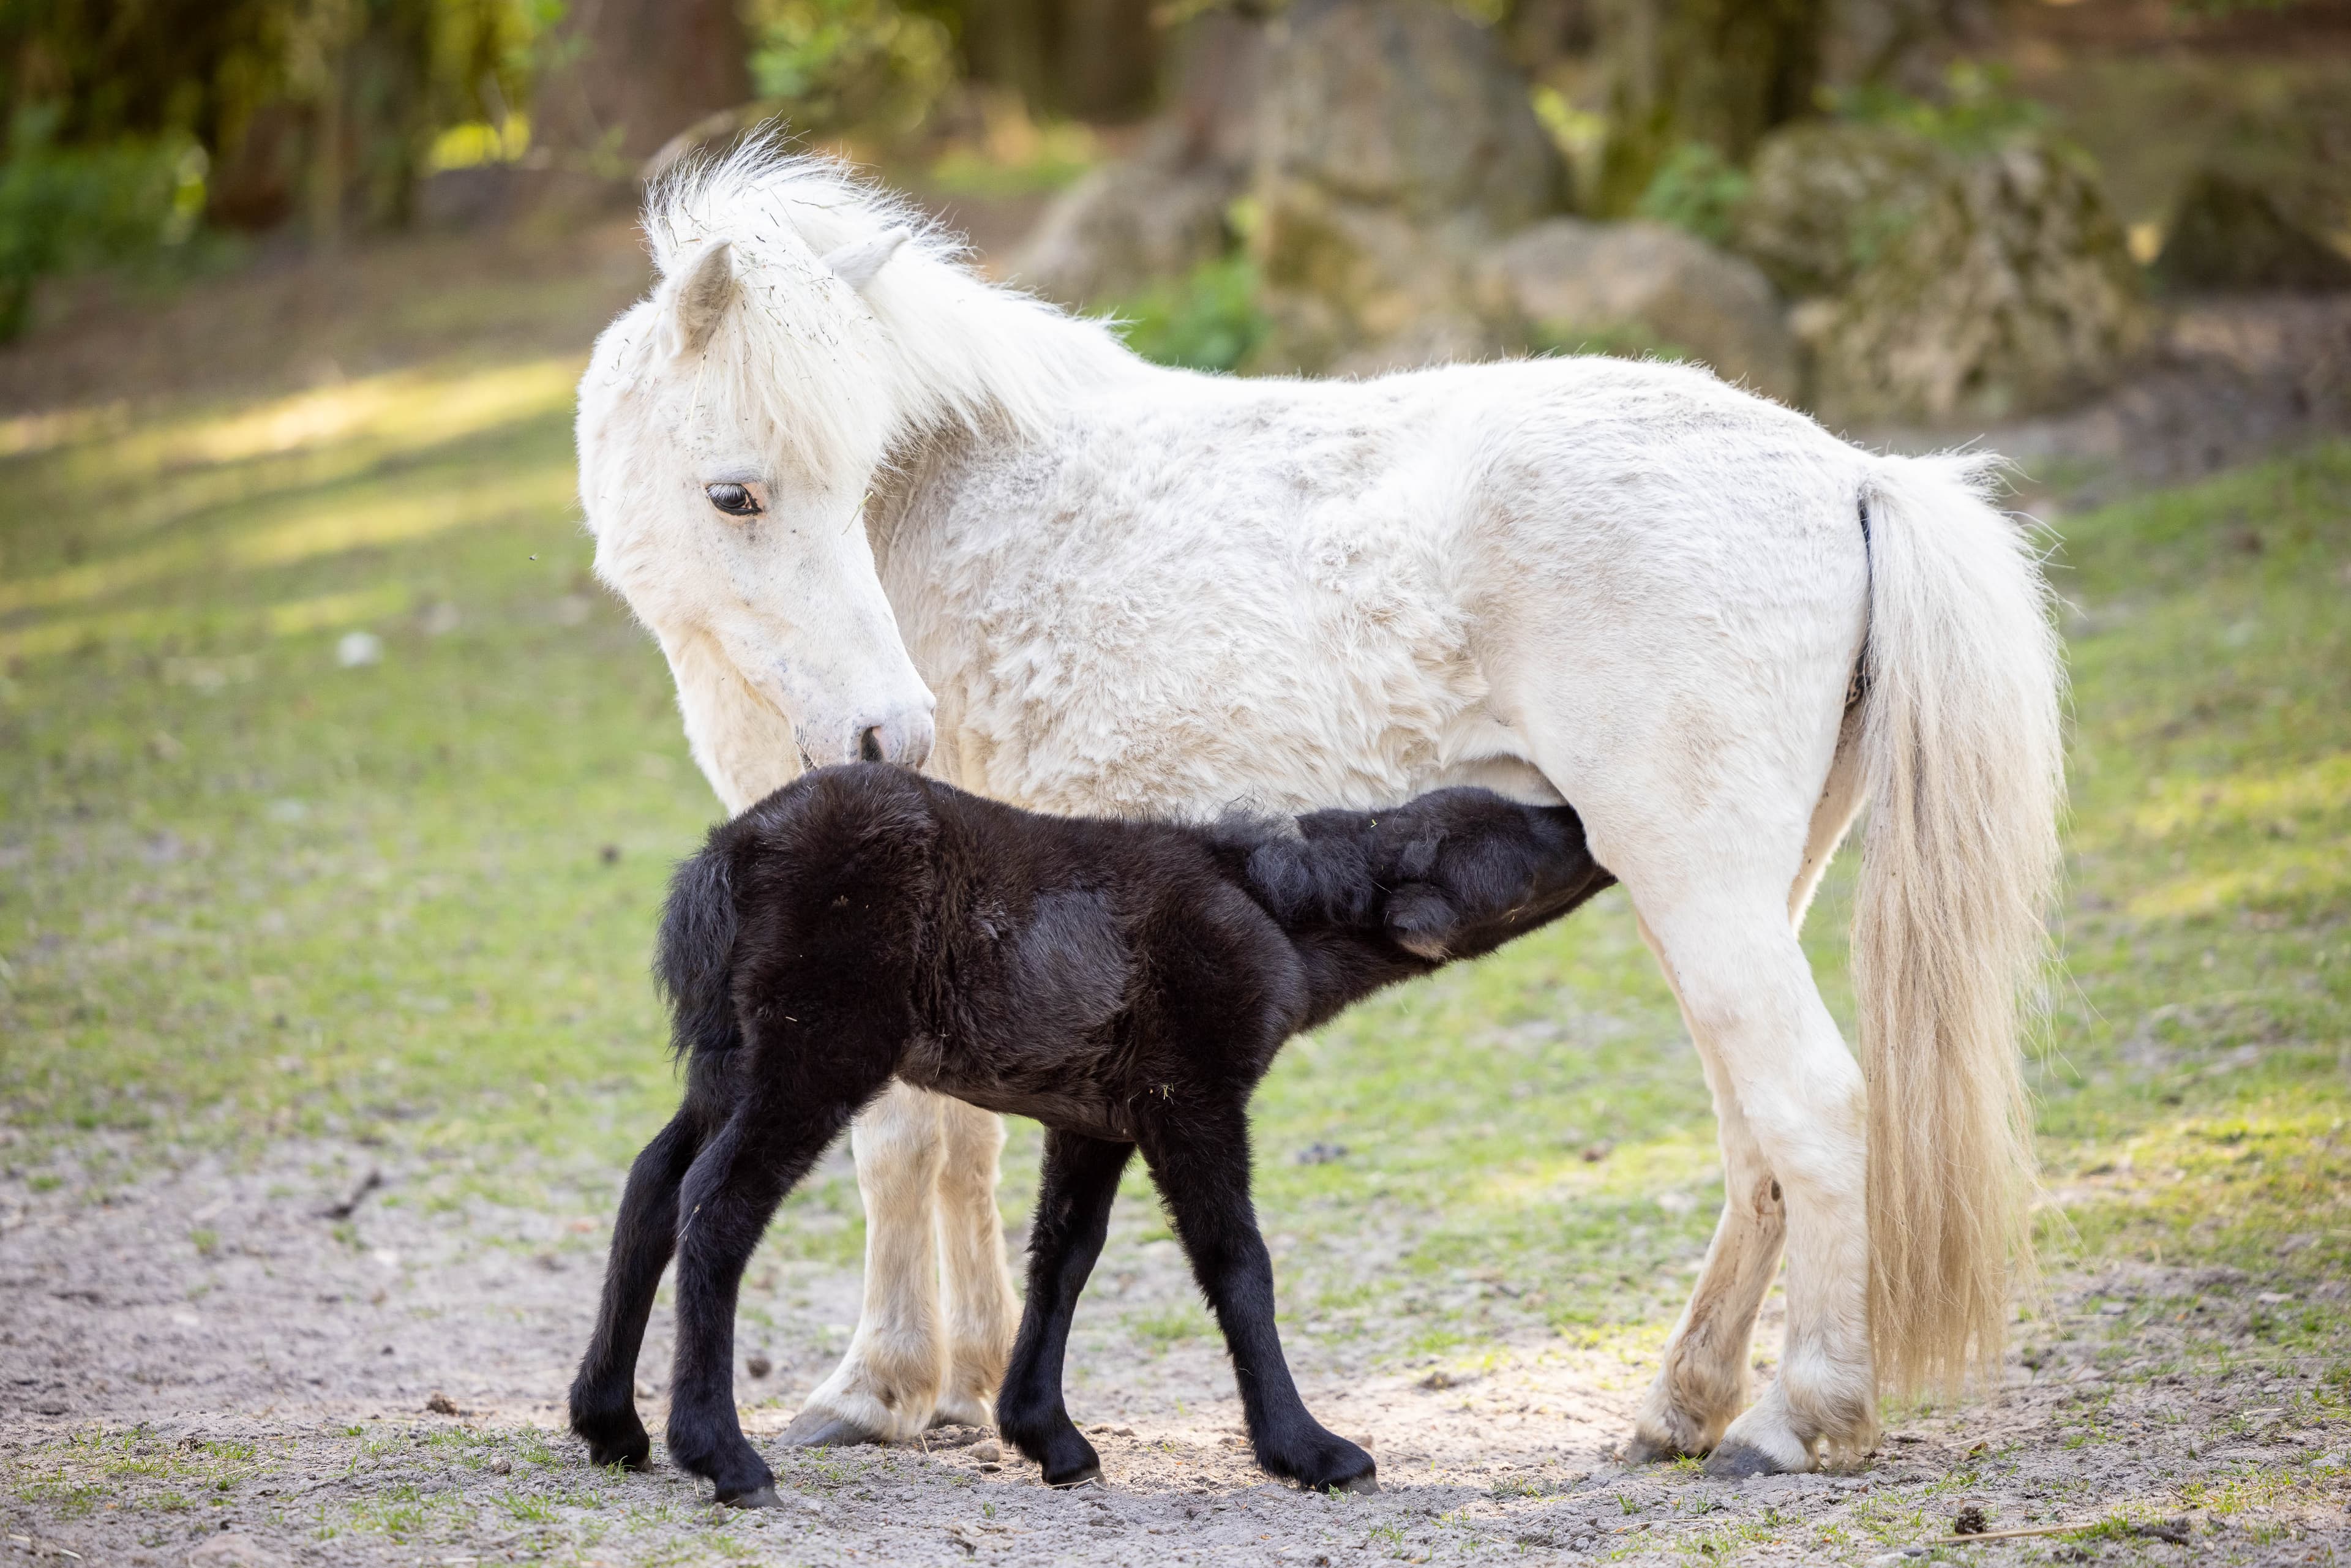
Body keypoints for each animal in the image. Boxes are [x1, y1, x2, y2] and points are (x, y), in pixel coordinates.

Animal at [564, 766, 1617, 1504]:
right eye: (1510, 830)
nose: (1581, 816)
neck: (1273, 909)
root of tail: (728, 856)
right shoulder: (1191, 1093)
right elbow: (1236, 1260)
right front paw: (1308, 1449)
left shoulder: (1097, 1112)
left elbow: (1064, 1253)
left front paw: (1048, 1436)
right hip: (814, 1049)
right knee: (716, 1204)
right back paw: (722, 1455)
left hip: (731, 1055)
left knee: (653, 1184)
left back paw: (611, 1424)